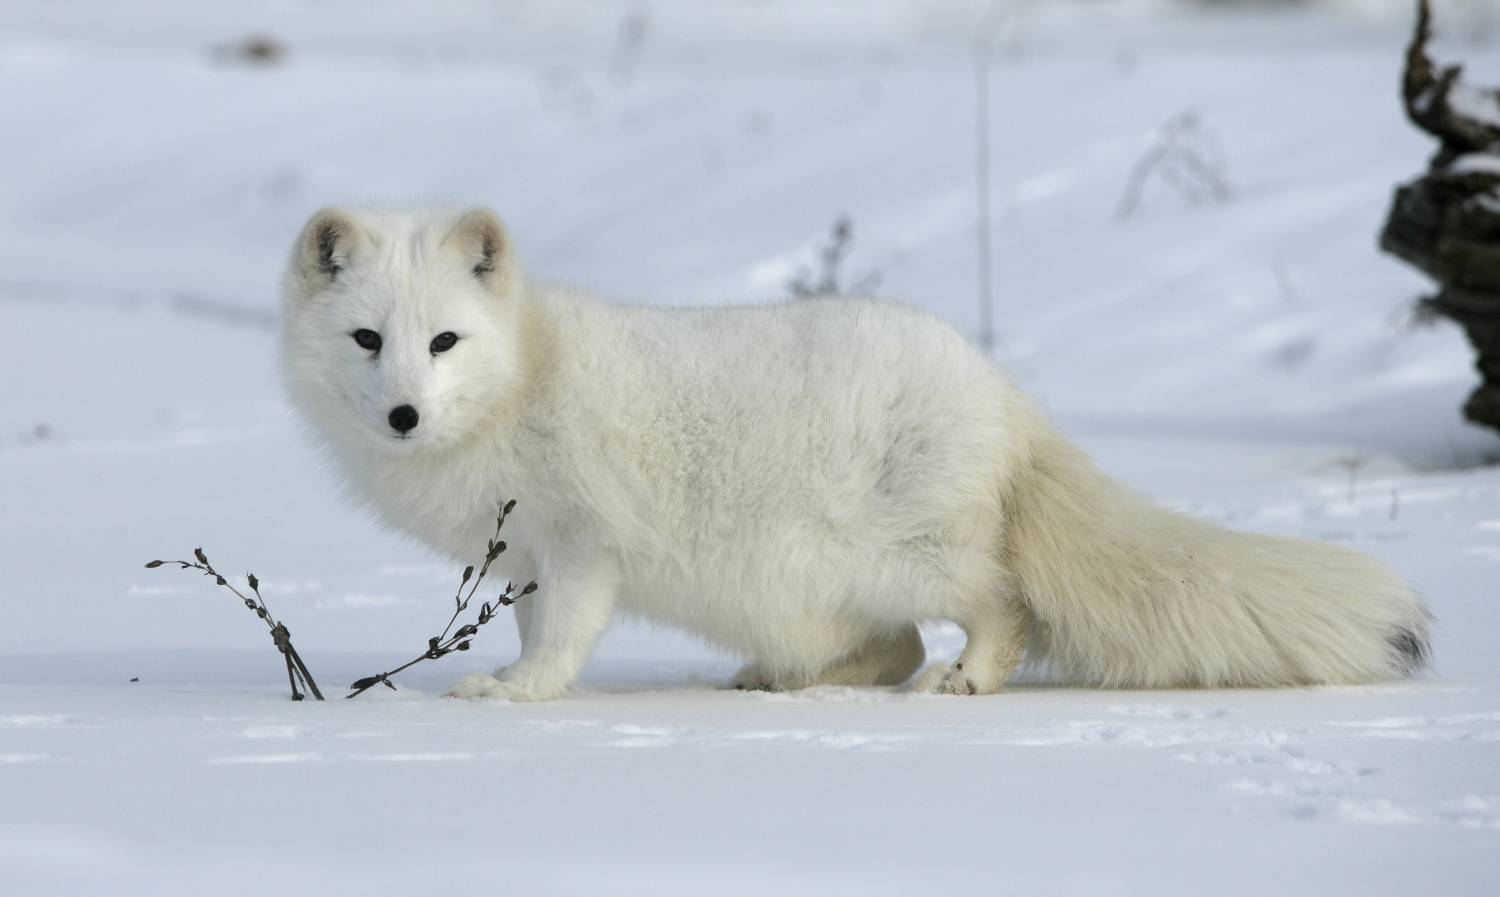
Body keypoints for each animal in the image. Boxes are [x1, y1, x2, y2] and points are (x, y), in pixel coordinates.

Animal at [279, 205, 1428, 702]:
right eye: (369, 341)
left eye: (444, 342)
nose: (404, 416)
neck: (524, 380)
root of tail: (1005, 396)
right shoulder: (523, 559)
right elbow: (532, 629)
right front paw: (516, 683)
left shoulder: (583, 545)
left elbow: (561, 640)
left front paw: (517, 698)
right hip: (807, 581)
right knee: (892, 645)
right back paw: (788, 682)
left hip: (904, 554)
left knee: (995, 607)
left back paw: (968, 680)